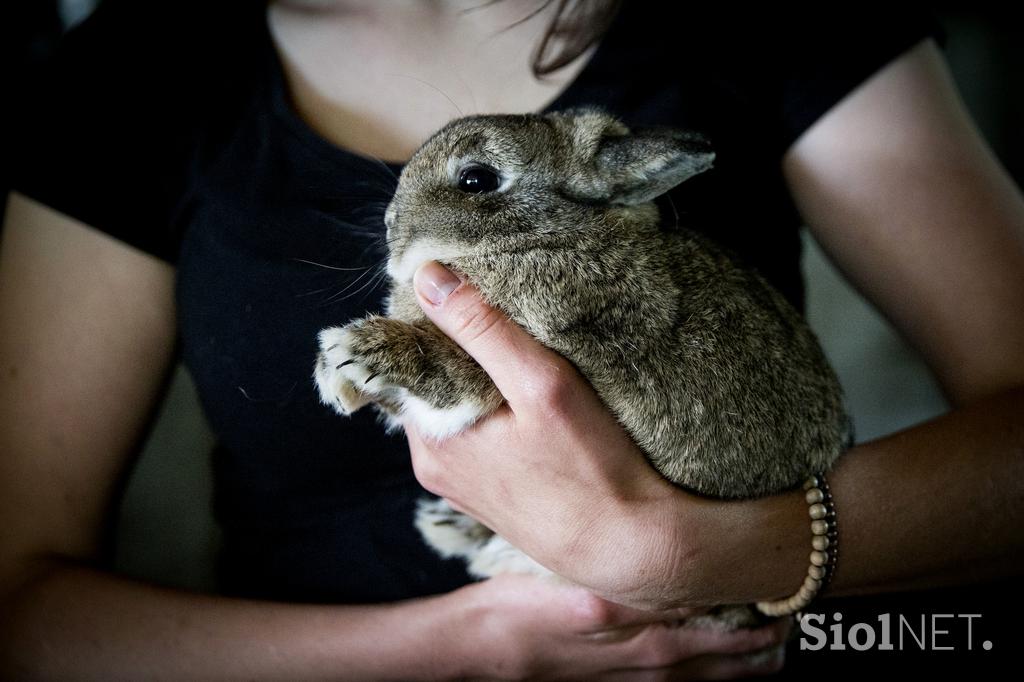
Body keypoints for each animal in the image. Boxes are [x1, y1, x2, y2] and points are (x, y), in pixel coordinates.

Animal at [309, 107, 847, 630]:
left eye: (476, 180)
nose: (389, 223)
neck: (542, 236)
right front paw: (335, 378)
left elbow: (448, 375)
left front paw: (354, 356)